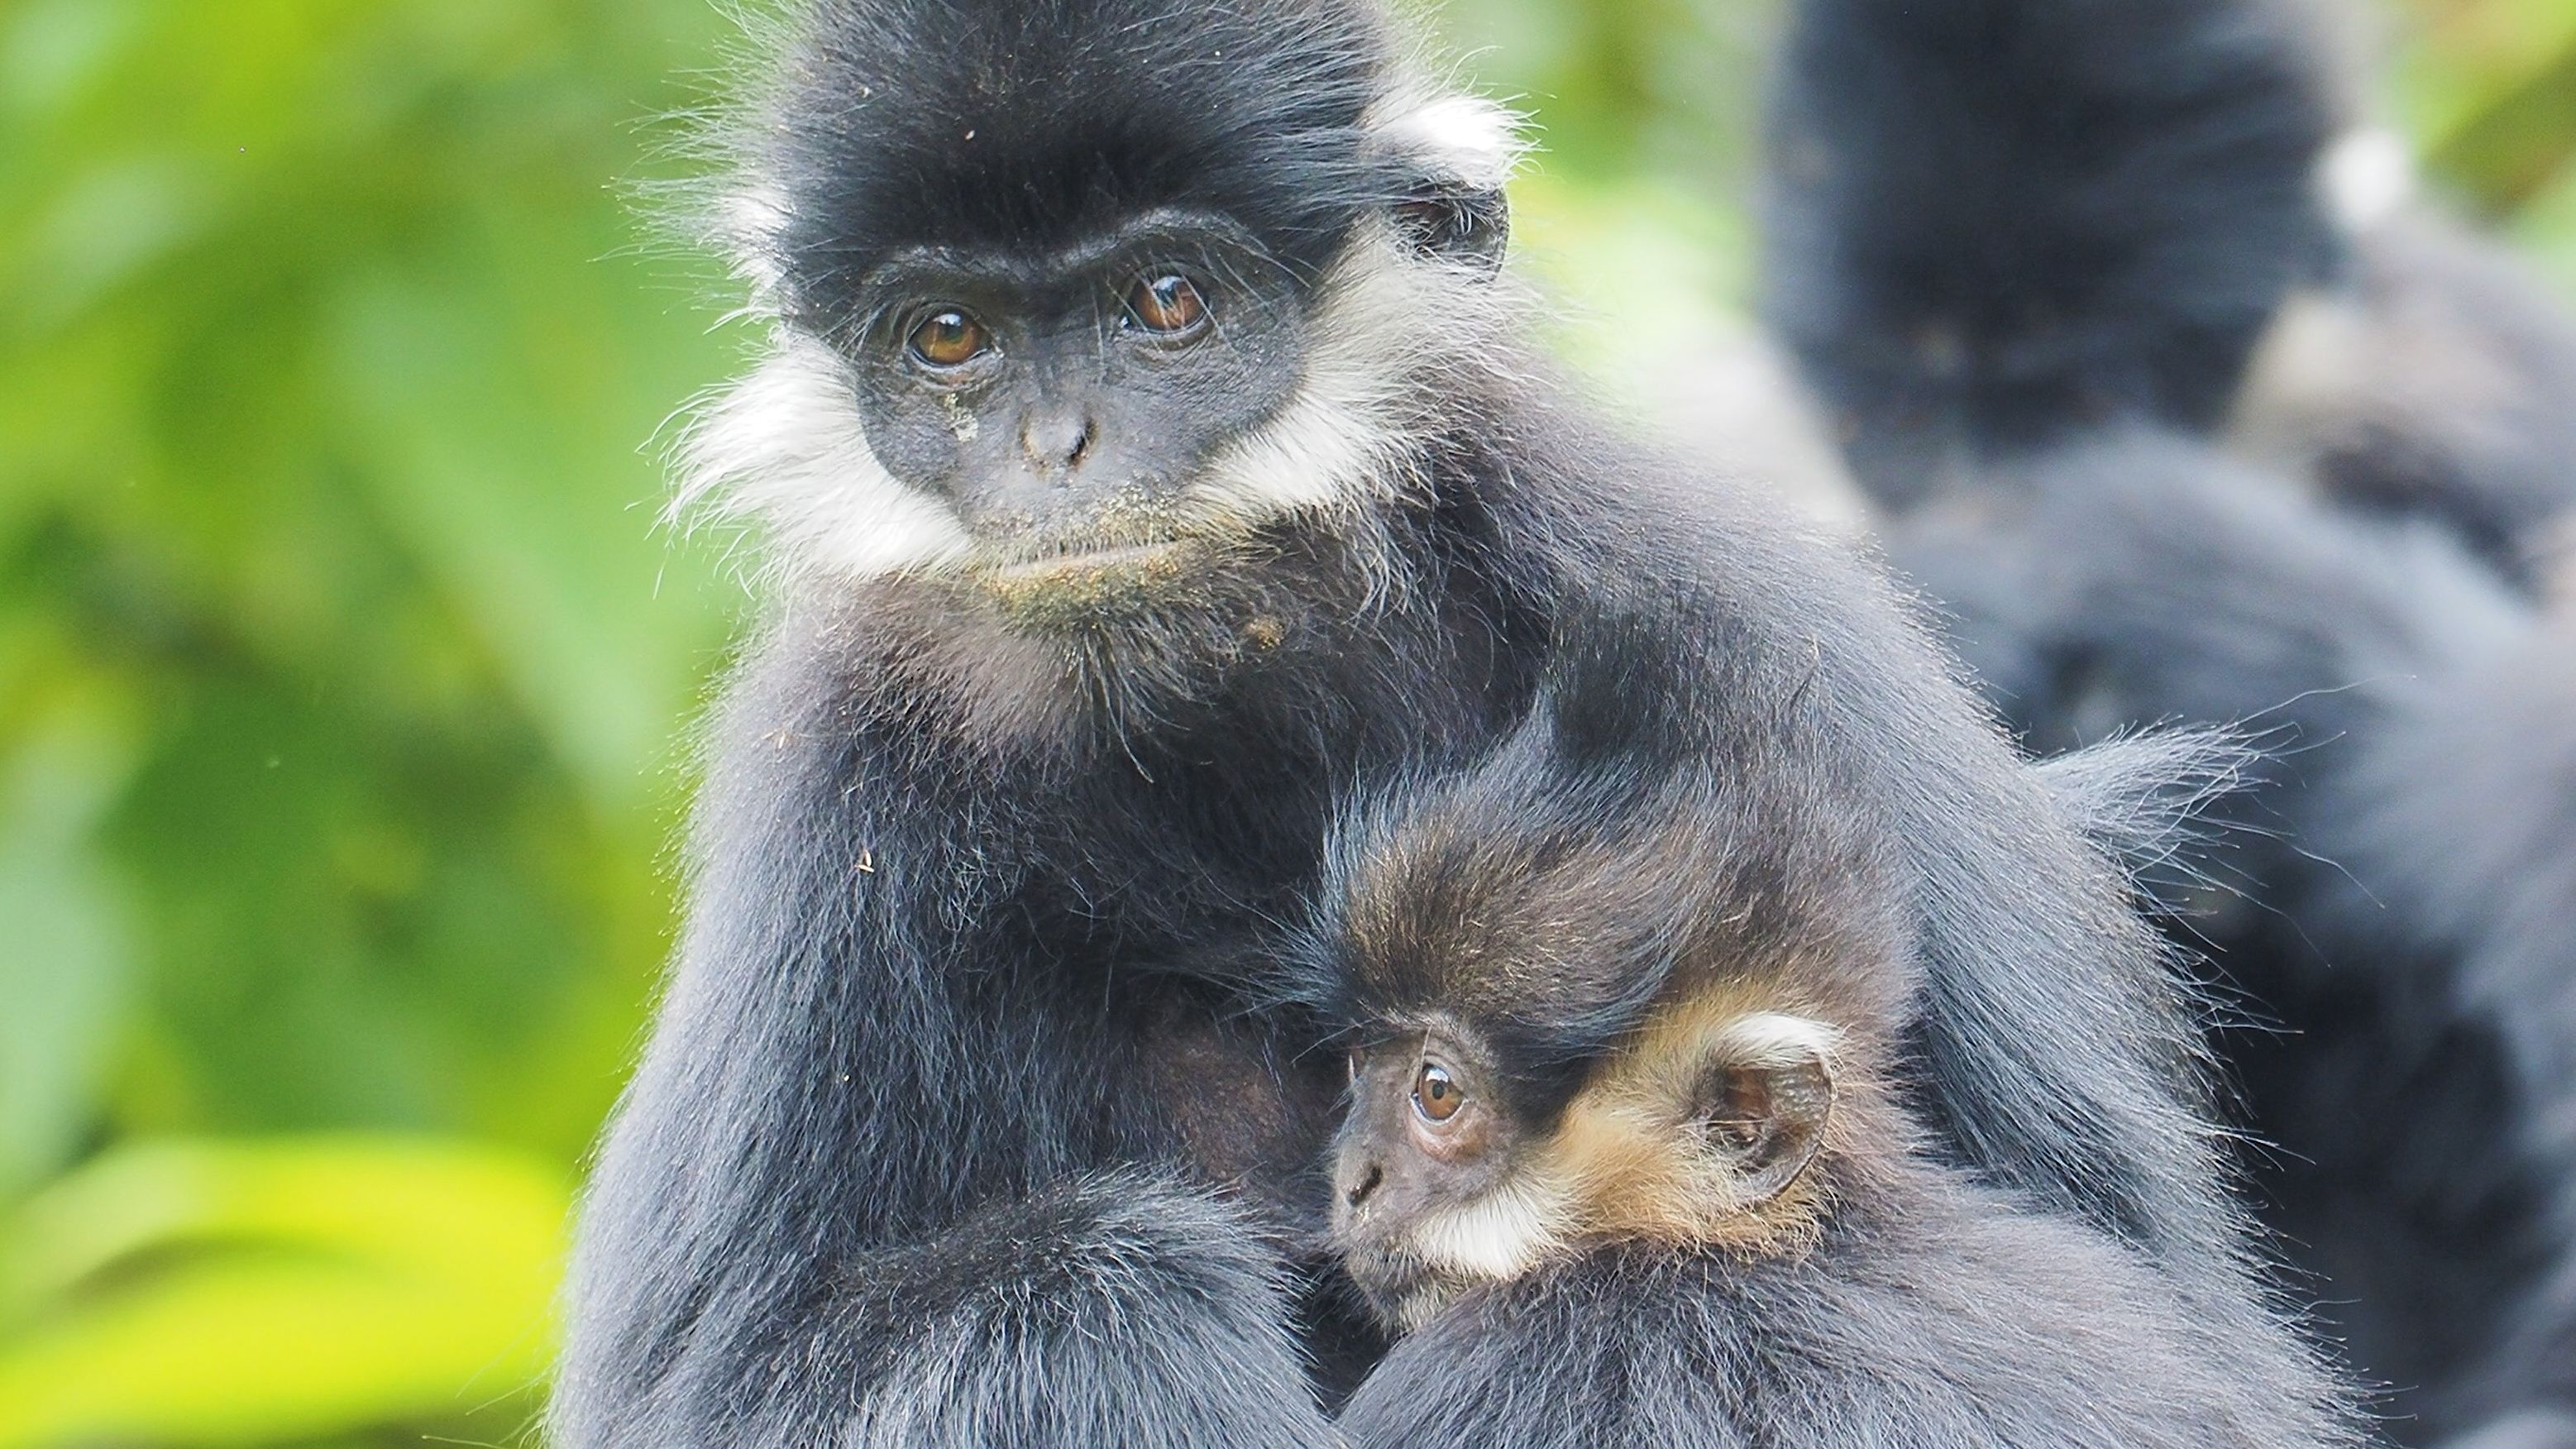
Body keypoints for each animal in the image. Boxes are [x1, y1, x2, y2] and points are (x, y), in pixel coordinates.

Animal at [558, 5, 2297, 1433]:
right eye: (948, 339)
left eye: (1165, 301)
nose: (1056, 447)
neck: (1243, 719)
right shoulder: (844, 766)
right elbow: (712, 1392)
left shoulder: (1742, 610)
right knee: (1100, 1289)